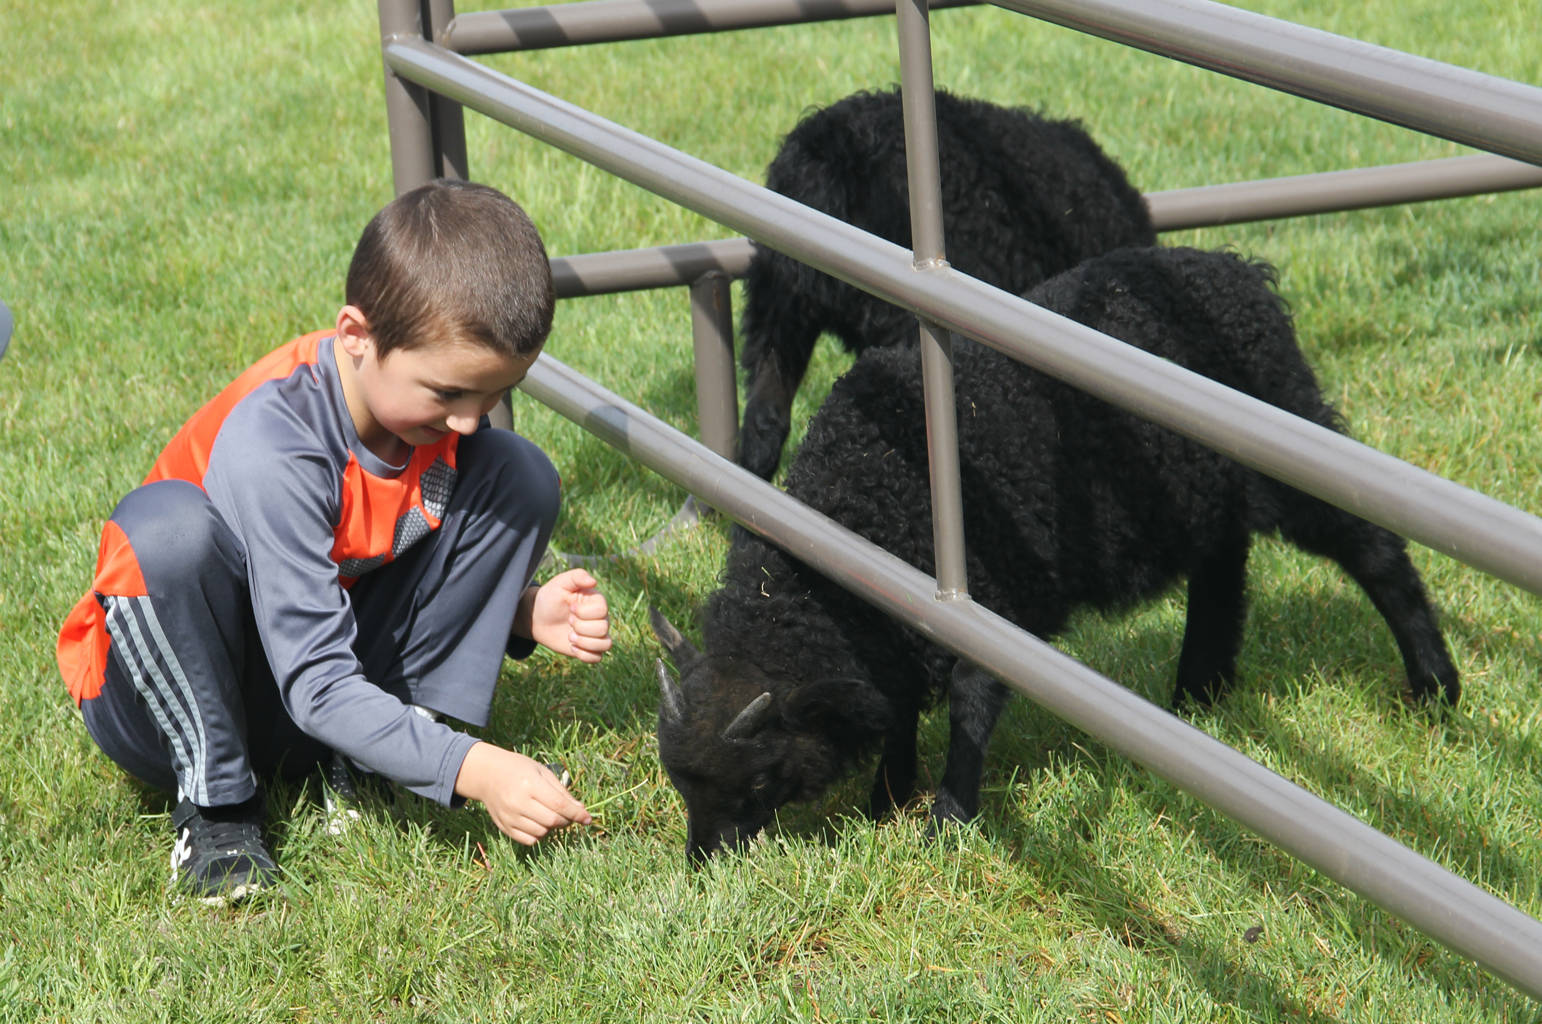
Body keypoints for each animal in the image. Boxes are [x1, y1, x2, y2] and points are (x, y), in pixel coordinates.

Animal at [650, 248, 1455, 863]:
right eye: (681, 782)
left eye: (758, 783)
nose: (705, 864)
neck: (861, 508)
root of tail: (1237, 271)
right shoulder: (900, 626)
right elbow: (902, 705)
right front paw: (889, 798)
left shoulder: (987, 603)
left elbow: (970, 705)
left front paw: (947, 820)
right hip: (1201, 497)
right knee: (1223, 575)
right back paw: (1199, 693)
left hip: (1292, 458)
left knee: (1376, 552)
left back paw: (1435, 686)